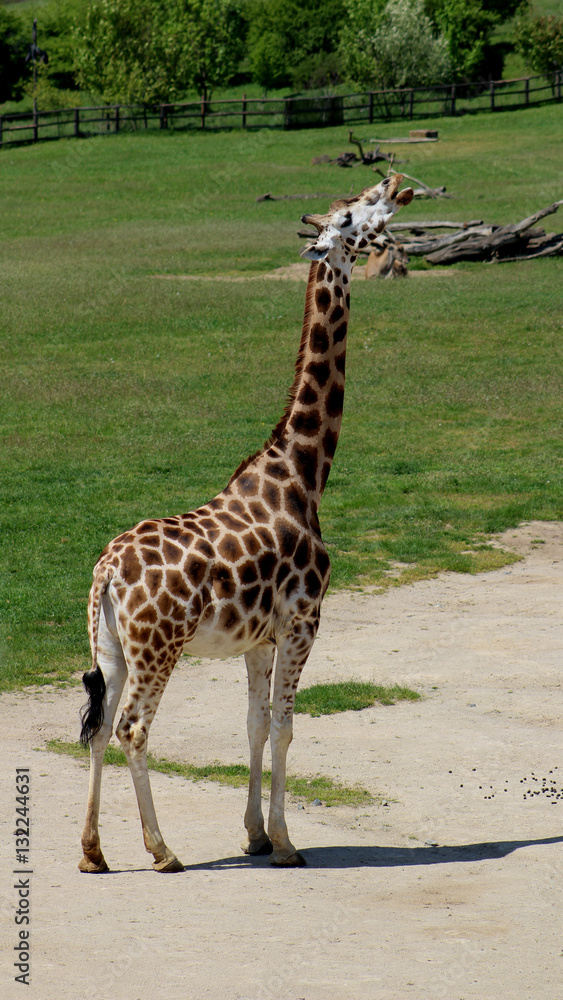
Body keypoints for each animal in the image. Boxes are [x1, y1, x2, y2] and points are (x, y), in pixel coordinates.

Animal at [78, 174, 413, 874]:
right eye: (351, 215)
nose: (397, 184)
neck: (303, 474)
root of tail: (105, 573)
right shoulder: (303, 621)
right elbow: (286, 726)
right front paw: (285, 843)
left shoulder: (258, 638)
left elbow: (255, 726)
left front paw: (254, 834)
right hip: (158, 648)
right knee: (132, 729)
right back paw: (162, 850)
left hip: (110, 647)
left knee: (96, 727)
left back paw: (93, 852)